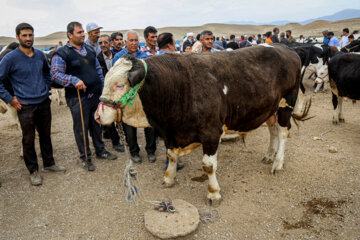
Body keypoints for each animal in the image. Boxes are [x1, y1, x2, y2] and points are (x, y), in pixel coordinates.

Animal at [95, 44, 310, 203]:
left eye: (119, 85)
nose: (98, 115)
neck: (181, 86)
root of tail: (287, 49)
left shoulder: (211, 133)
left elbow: (208, 166)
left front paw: (213, 193)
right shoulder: (172, 133)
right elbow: (171, 156)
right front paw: (168, 178)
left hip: (286, 104)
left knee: (283, 132)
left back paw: (277, 163)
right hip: (269, 108)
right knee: (273, 130)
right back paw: (268, 155)